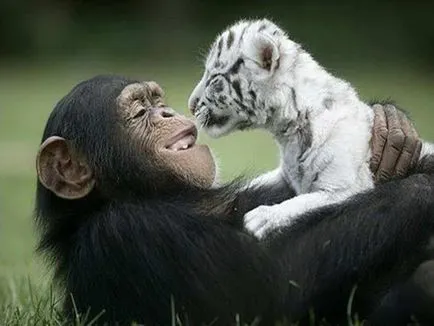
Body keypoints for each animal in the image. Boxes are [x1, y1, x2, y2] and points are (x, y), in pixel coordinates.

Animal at [35, 75, 434, 324]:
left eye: (156, 100)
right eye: (138, 111)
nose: (167, 112)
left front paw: (390, 129)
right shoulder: (128, 233)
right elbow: (273, 292)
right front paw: (423, 184)